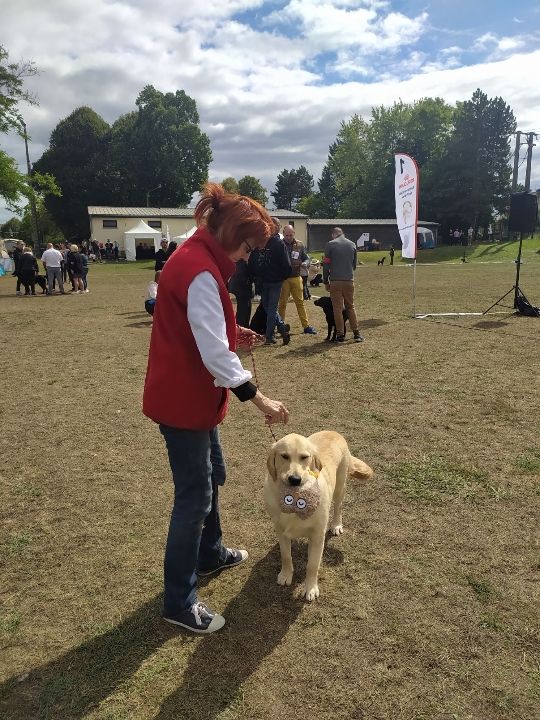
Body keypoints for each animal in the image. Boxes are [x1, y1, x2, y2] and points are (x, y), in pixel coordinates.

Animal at [264, 434, 374, 600]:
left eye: (304, 457)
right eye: (284, 456)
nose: (295, 479)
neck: (295, 502)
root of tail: (334, 432)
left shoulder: (317, 535)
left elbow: (312, 565)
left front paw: (310, 588)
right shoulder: (281, 531)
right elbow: (286, 556)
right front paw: (285, 574)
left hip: (340, 487)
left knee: (338, 507)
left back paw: (336, 525)